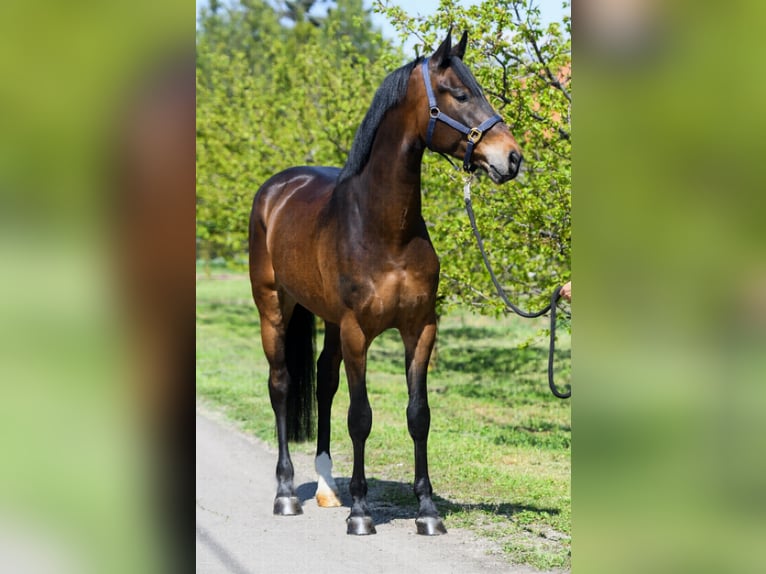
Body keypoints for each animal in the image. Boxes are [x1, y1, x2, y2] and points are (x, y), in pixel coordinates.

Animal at [249, 29, 524, 536]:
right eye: (459, 94)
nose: (511, 158)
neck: (384, 229)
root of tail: (276, 189)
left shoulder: (420, 328)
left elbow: (419, 415)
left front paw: (427, 510)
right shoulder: (358, 331)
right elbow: (361, 416)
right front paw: (361, 513)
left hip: (328, 321)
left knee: (323, 381)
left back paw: (327, 487)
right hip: (274, 308)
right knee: (281, 385)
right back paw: (287, 493)